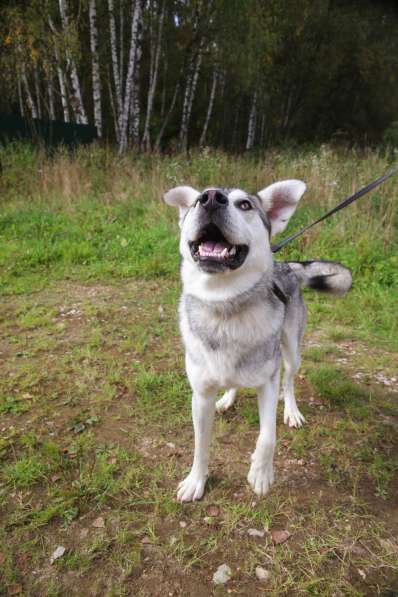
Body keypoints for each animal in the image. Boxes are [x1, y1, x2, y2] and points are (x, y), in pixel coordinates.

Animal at [163, 179, 350, 500]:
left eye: (245, 205)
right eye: (196, 201)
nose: (210, 198)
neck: (225, 306)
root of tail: (286, 264)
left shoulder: (267, 384)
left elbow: (267, 436)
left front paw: (261, 474)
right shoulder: (200, 395)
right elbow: (200, 445)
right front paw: (196, 481)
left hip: (292, 352)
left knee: (289, 381)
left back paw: (291, 411)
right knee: (233, 384)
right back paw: (227, 399)